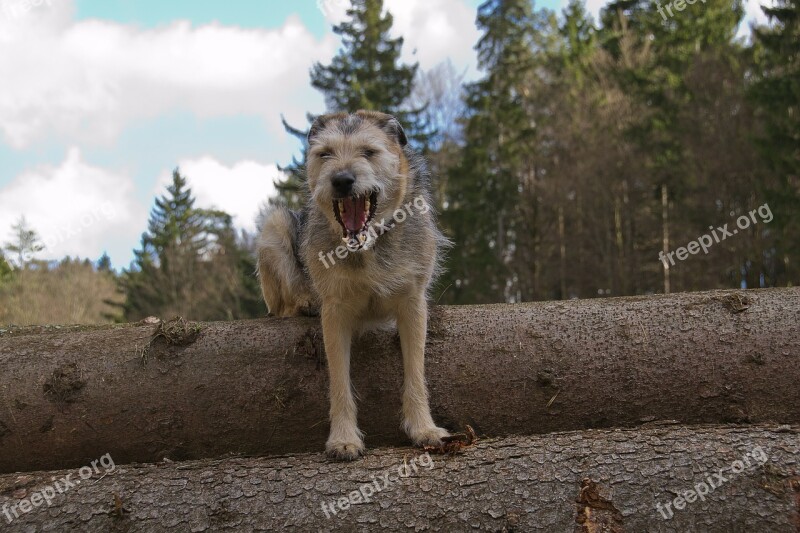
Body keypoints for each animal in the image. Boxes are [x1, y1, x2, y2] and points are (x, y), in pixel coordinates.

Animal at [258, 110, 450, 460]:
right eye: (325, 154)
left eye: (368, 152)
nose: (342, 179)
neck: (368, 247)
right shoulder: (335, 312)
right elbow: (339, 382)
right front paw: (343, 439)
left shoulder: (413, 304)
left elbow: (415, 372)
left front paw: (424, 428)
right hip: (274, 226)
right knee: (281, 306)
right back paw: (304, 301)